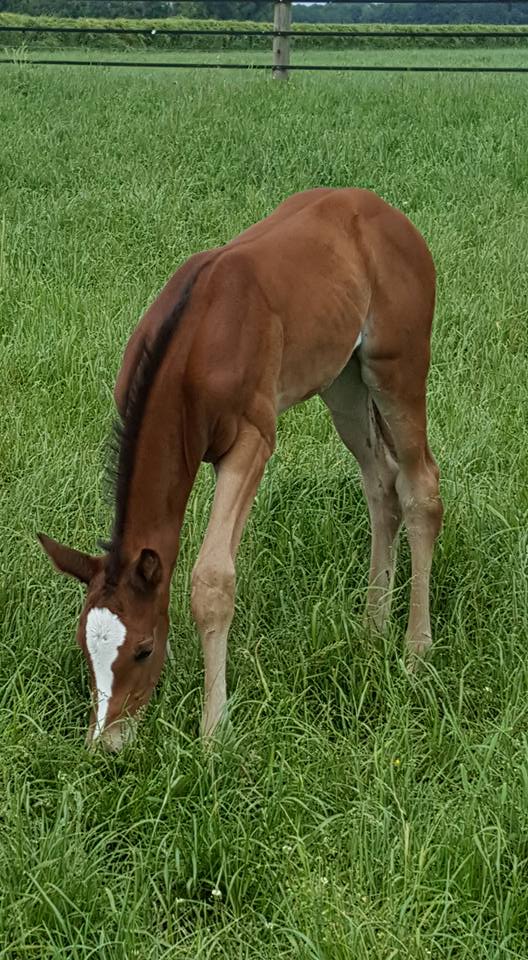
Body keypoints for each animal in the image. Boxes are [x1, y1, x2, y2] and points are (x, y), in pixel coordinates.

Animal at [39, 189, 442, 752]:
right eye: (83, 647)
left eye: (143, 649)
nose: (107, 743)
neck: (192, 340)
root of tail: (387, 213)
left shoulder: (251, 442)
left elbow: (211, 581)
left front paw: (213, 732)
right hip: (342, 379)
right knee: (381, 483)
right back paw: (372, 627)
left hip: (396, 365)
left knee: (420, 486)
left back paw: (415, 649)